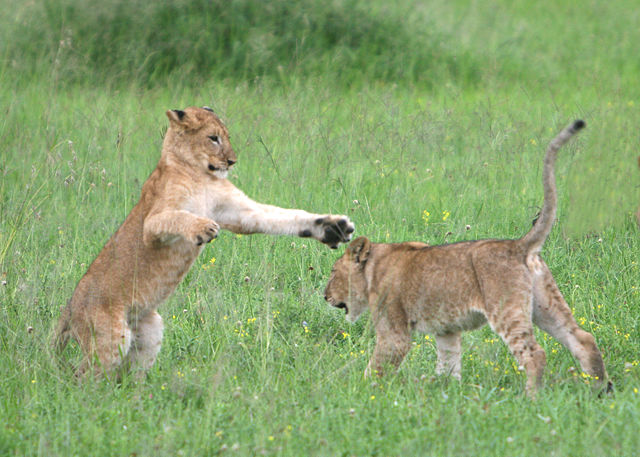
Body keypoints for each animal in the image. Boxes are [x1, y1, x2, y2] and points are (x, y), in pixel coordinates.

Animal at [54, 106, 354, 378]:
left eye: (226, 136)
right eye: (213, 138)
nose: (232, 162)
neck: (199, 173)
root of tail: (70, 306)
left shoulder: (241, 212)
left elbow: (283, 217)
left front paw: (332, 228)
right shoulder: (151, 224)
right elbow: (176, 217)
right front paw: (202, 228)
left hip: (149, 329)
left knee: (126, 375)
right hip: (110, 337)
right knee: (82, 376)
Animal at [325, 120, 610, 397]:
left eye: (333, 272)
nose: (325, 296)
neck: (373, 268)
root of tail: (519, 245)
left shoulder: (394, 332)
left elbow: (376, 368)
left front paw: (359, 392)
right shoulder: (447, 331)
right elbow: (449, 365)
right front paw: (444, 394)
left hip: (506, 309)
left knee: (535, 354)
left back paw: (532, 399)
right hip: (545, 305)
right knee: (583, 339)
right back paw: (600, 391)